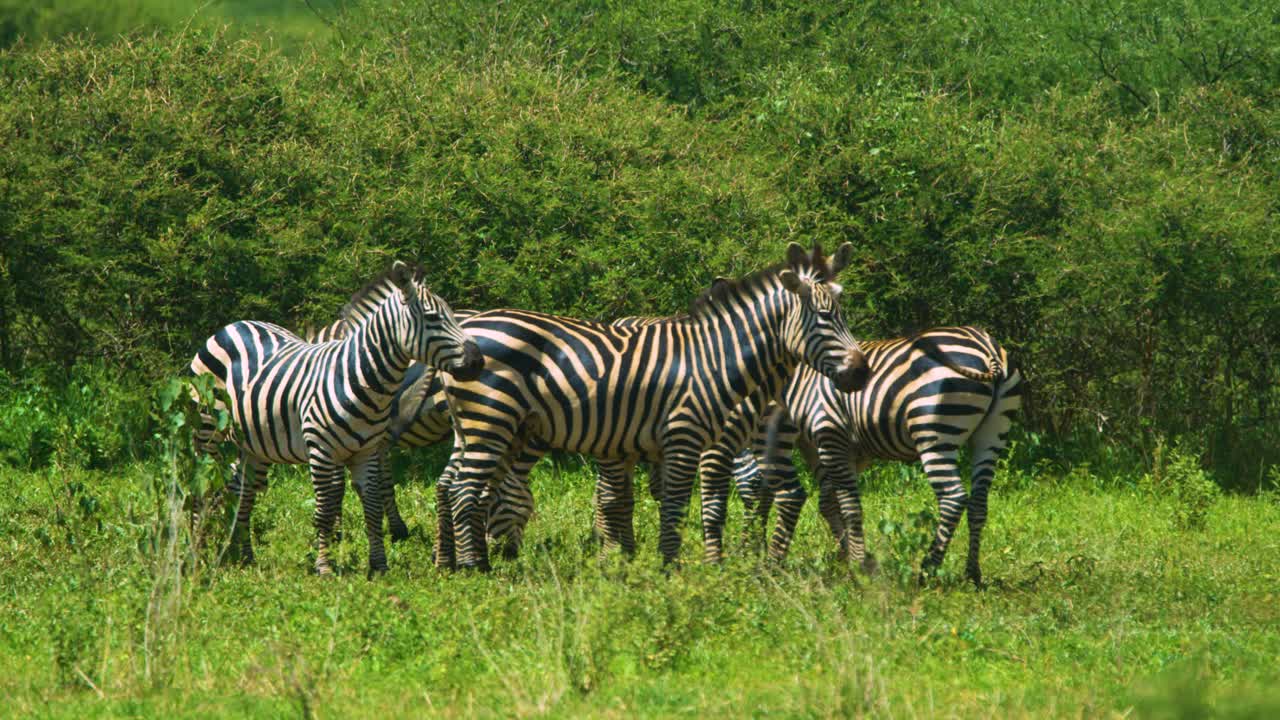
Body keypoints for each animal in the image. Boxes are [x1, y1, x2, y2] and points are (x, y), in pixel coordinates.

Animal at [189, 261, 483, 576]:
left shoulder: (366, 452)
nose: (478, 361)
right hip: (206, 431)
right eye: (432, 318)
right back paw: (197, 553)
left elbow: (372, 505)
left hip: (255, 445)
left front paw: (379, 564)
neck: (358, 377)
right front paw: (324, 566)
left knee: (242, 491)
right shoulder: (322, 452)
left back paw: (244, 556)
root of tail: (235, 325)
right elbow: (325, 510)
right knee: (201, 486)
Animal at [438, 241, 870, 570]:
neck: (715, 358)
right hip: (490, 420)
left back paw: (468, 563)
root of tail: (469, 328)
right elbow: (675, 506)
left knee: (462, 488)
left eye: (842, 314)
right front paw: (669, 569)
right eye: (824, 318)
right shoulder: (684, 437)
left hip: (477, 425)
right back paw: (475, 569)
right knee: (464, 491)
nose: (861, 372)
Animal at [721, 327, 1023, 585]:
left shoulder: (829, 433)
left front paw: (855, 565)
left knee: (953, 498)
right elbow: (828, 502)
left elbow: (846, 504)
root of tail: (986, 347)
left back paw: (927, 570)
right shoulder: (838, 448)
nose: (743, 552)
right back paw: (972, 574)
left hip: (935, 432)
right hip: (992, 434)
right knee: (979, 502)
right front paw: (847, 556)